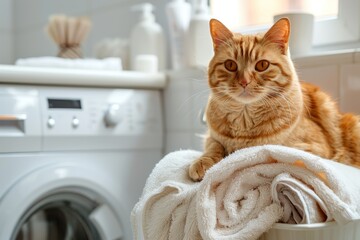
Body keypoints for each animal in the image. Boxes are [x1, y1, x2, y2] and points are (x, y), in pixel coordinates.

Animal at [188, 17, 360, 181]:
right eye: (230, 65)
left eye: (262, 65)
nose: (244, 81)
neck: (244, 121)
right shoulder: (211, 136)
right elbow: (213, 146)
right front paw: (202, 161)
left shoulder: (309, 151)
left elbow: (265, 152)